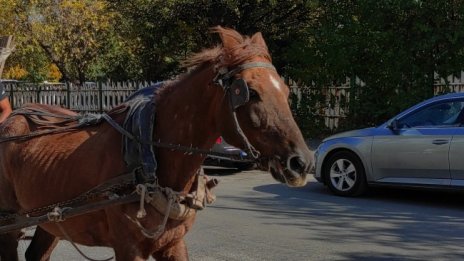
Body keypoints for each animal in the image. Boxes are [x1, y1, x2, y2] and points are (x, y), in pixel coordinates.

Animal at [0, 26, 314, 260]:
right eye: (250, 93)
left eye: (287, 91)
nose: (302, 162)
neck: (149, 156)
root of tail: (10, 120)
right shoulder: (128, 249)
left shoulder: (173, 244)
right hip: (11, 223)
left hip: (51, 220)